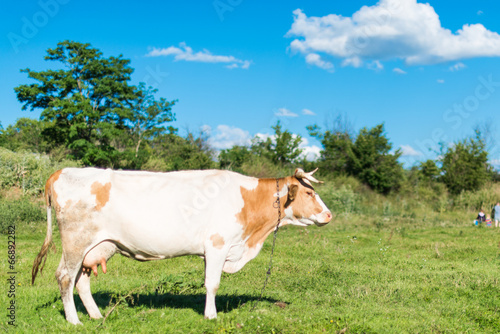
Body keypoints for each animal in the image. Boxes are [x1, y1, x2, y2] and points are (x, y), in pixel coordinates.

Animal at [33, 168, 334, 324]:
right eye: (309, 192)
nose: (329, 215)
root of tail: (61, 171)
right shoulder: (218, 244)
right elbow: (212, 284)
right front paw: (211, 316)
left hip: (96, 247)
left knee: (81, 281)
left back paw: (96, 316)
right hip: (75, 242)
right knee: (64, 277)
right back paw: (74, 320)